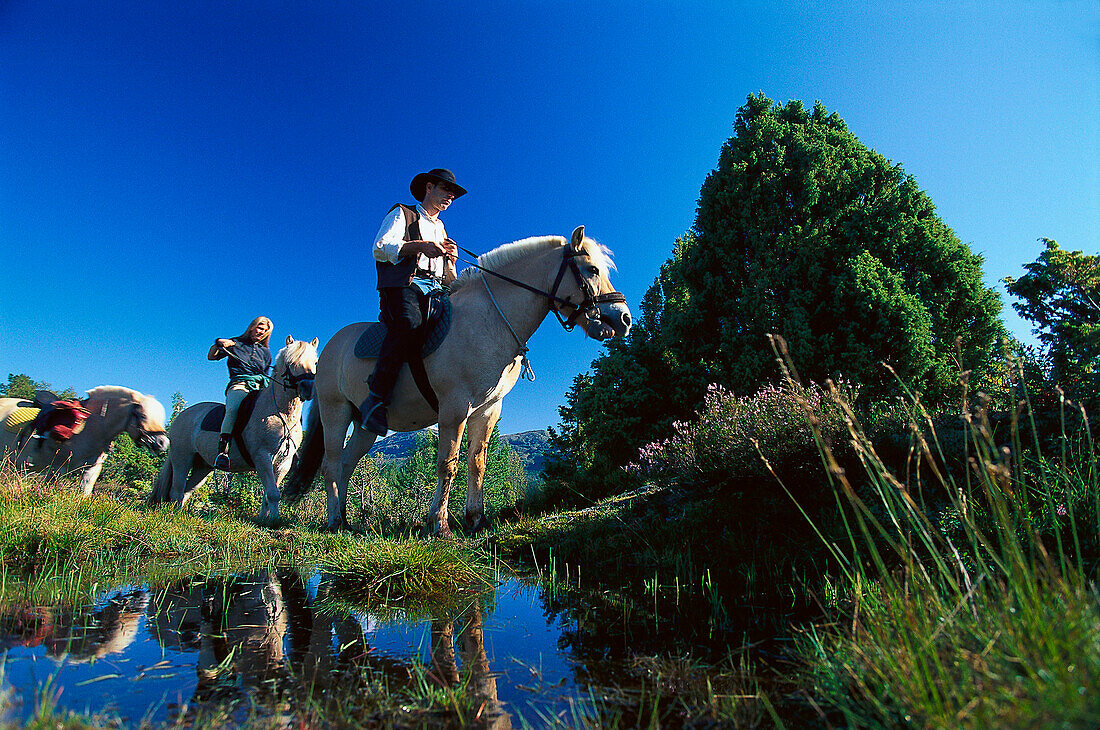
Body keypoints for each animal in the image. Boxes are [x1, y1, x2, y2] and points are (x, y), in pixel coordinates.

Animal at [148, 336, 319, 525]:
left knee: (187, 490)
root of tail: (182, 416)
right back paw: (174, 515)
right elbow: (273, 493)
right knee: (177, 490)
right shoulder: (262, 456)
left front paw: (264, 519)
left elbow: (269, 493)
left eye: (315, 362)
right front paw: (273, 521)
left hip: (203, 467)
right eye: (290, 362)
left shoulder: (283, 463)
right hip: (182, 458)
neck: (281, 413)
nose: (308, 388)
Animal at [283, 228, 633, 536]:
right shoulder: (454, 409)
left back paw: (345, 520)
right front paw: (439, 525)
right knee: (331, 465)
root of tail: (329, 348)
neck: (489, 321)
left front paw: (476, 519)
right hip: (336, 412)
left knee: (346, 465)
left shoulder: (488, 410)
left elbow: (477, 463)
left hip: (366, 425)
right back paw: (333, 520)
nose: (624, 319)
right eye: (591, 269)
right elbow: (447, 464)